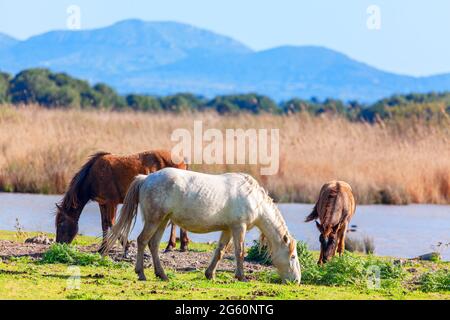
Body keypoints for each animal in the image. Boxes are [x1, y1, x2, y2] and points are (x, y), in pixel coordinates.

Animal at [55, 150, 189, 252]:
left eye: (61, 223)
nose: (58, 244)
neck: (93, 176)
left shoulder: (111, 202)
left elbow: (111, 223)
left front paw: (126, 245)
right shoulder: (102, 203)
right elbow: (104, 224)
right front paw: (102, 248)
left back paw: (171, 245)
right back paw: (183, 244)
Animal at [104, 169, 302, 284]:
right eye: (292, 256)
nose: (297, 281)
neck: (253, 197)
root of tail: (146, 178)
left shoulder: (228, 229)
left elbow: (220, 251)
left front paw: (210, 274)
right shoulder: (239, 227)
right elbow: (239, 252)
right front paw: (242, 277)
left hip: (163, 221)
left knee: (153, 244)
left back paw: (162, 275)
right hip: (155, 219)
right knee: (142, 241)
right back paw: (142, 274)